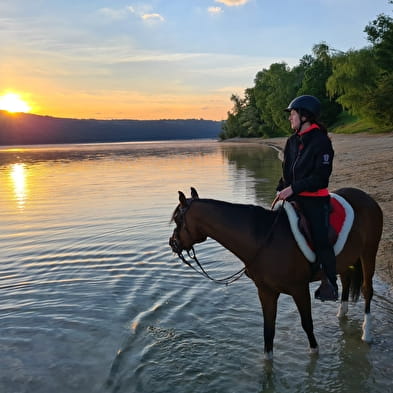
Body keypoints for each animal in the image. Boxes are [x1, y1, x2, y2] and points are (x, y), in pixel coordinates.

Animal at [169, 186, 382, 358]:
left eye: (178, 219)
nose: (173, 243)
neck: (263, 239)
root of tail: (366, 197)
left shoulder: (299, 289)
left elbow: (307, 324)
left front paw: (314, 354)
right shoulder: (266, 292)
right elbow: (268, 331)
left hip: (369, 251)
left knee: (367, 290)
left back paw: (367, 334)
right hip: (347, 260)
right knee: (346, 280)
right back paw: (341, 313)